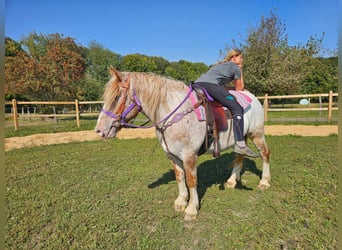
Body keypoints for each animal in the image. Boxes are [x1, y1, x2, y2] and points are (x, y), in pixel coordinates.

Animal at [95, 66, 270, 221]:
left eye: (117, 97)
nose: (99, 130)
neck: (175, 113)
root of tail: (252, 97)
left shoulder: (189, 156)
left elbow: (191, 180)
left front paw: (191, 209)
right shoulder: (172, 155)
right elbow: (180, 177)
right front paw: (181, 201)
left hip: (257, 134)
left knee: (265, 154)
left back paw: (264, 182)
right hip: (241, 139)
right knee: (240, 156)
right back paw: (232, 181)